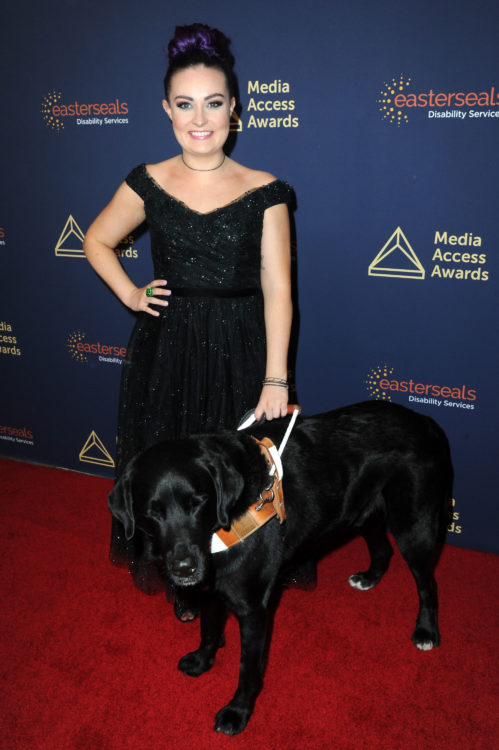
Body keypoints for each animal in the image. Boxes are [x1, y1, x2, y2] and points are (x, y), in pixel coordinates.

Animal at [109, 402, 454, 736]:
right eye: (152, 513)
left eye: (199, 502)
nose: (184, 568)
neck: (224, 522)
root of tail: (425, 421)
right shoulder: (212, 588)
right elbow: (208, 629)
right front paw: (203, 659)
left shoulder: (253, 610)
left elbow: (248, 669)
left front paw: (238, 713)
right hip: (364, 512)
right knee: (383, 548)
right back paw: (370, 577)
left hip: (413, 526)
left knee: (428, 582)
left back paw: (426, 631)